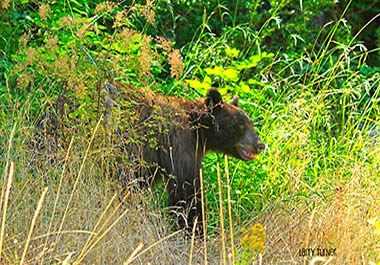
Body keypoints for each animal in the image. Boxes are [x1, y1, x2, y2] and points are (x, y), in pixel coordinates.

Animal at [109, 84, 264, 233]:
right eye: (240, 124)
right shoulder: (180, 145)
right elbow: (186, 190)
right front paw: (195, 229)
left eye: (251, 123)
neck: (198, 130)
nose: (260, 145)